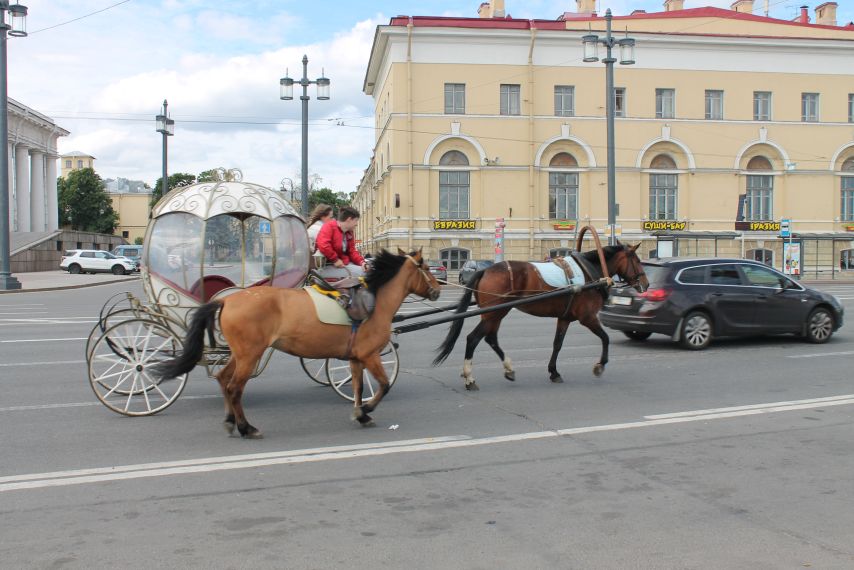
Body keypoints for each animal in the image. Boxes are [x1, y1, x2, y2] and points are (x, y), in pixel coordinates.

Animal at [153, 246, 442, 438]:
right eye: (427, 268)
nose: (438, 290)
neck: (374, 300)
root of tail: (226, 300)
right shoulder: (370, 355)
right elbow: (382, 385)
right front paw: (367, 409)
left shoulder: (356, 358)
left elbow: (359, 388)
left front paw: (360, 413)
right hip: (250, 355)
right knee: (235, 388)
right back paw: (246, 427)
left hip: (240, 354)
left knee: (223, 380)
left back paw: (230, 420)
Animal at [434, 242, 648, 388]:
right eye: (637, 261)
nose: (646, 284)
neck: (589, 274)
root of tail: (485, 270)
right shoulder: (587, 318)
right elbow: (605, 338)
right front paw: (600, 365)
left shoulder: (564, 318)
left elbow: (557, 344)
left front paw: (554, 372)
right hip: (494, 314)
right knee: (473, 338)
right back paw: (469, 377)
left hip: (495, 315)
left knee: (491, 338)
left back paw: (509, 369)